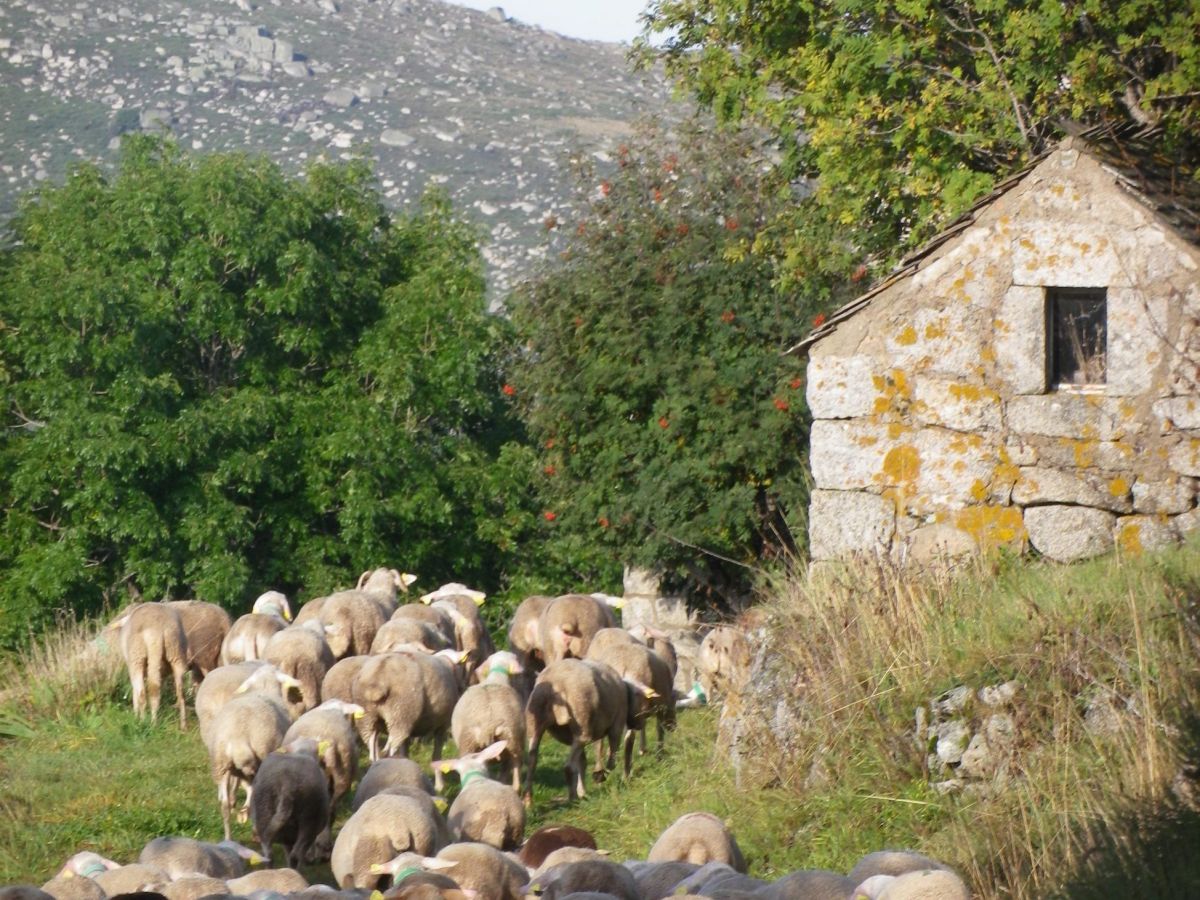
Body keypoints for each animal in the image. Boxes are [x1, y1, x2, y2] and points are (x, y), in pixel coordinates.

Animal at [250, 734, 331, 868]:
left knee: (269, 854)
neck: (302, 751)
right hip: (309, 821)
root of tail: (288, 784)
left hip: (263, 813)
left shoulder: (287, 837)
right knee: (296, 854)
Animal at [530, 657, 633, 801]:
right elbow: (611, 758)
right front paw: (599, 777)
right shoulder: (616, 724)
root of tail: (557, 685)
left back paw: (527, 798)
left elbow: (582, 762)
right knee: (569, 766)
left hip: (537, 720)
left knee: (532, 759)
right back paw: (572, 797)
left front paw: (583, 790)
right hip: (583, 726)